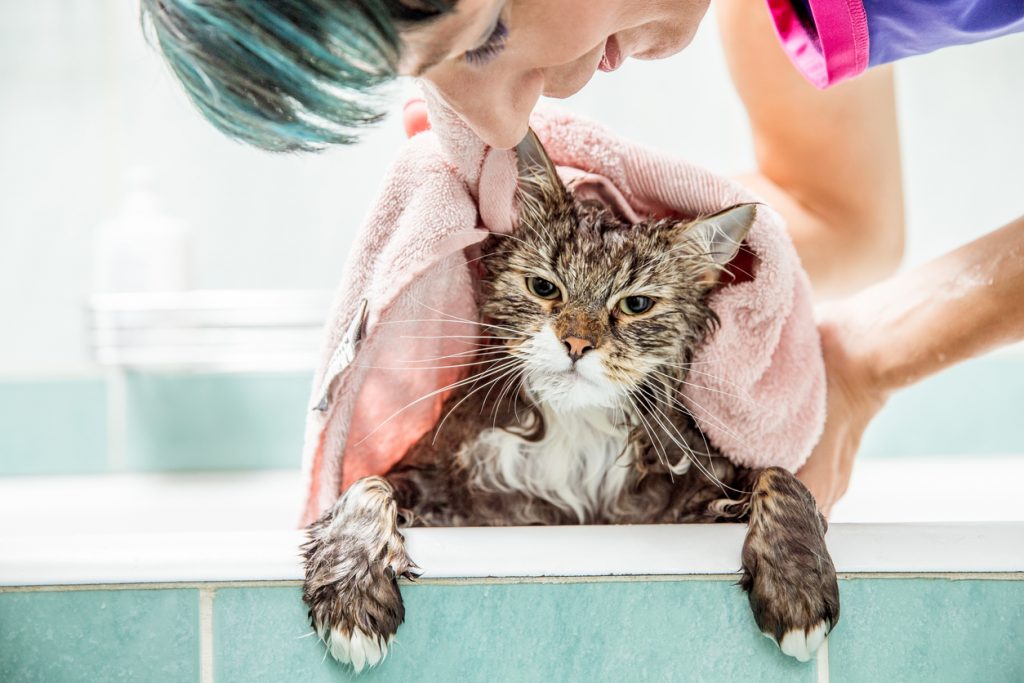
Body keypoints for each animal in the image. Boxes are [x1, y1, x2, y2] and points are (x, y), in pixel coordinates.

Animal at [301, 131, 839, 671]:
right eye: (543, 287)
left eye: (635, 304)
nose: (577, 344)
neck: (574, 430)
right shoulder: (444, 489)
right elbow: (367, 487)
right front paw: (353, 593)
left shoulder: (697, 494)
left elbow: (779, 476)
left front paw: (797, 586)